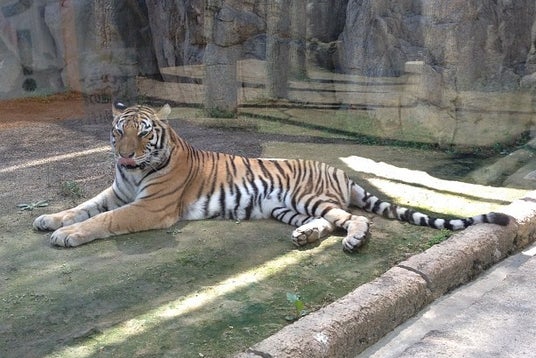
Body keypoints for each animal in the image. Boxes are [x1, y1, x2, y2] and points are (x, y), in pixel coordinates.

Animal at [33, 101, 510, 252]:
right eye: (118, 132)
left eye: (143, 132)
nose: (124, 155)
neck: (133, 176)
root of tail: (339, 169)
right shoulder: (118, 192)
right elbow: (83, 207)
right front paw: (49, 220)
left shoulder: (149, 207)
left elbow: (103, 220)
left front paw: (67, 236)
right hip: (286, 207)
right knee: (328, 223)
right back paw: (306, 237)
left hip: (309, 197)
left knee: (356, 219)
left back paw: (355, 241)